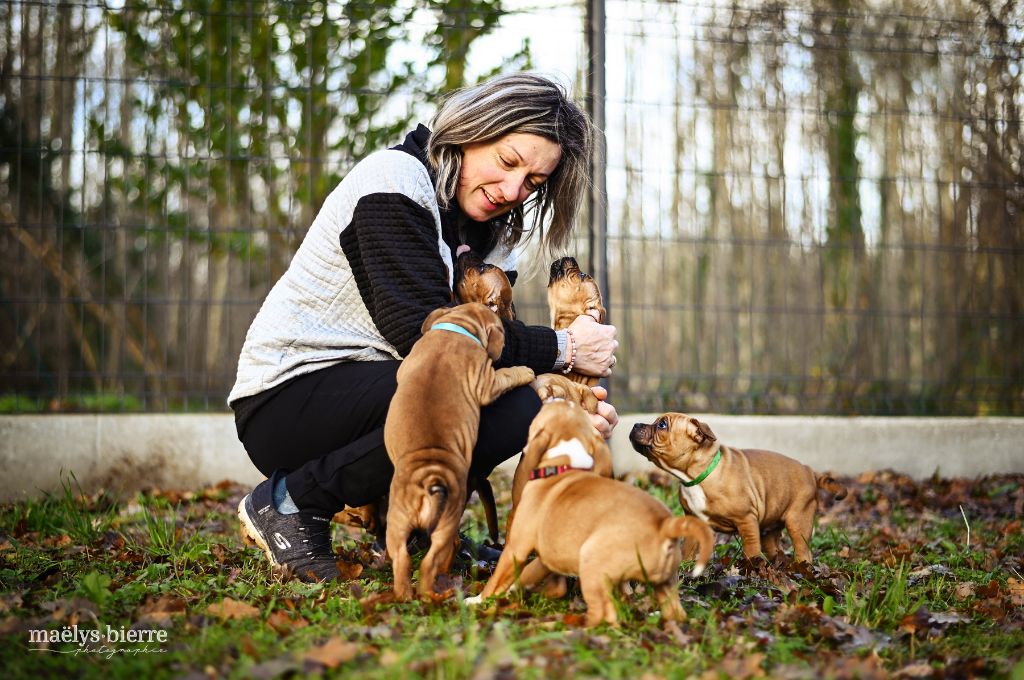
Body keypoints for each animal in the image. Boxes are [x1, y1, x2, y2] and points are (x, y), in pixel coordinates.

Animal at [380, 303, 532, 602]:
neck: (457, 329)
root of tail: (428, 477)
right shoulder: (488, 382)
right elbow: (508, 374)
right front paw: (526, 371)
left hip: (398, 521)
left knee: (402, 560)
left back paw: (404, 595)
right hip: (446, 523)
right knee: (429, 564)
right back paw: (436, 594)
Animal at [626, 413, 851, 561]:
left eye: (662, 425)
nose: (635, 424)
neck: (696, 476)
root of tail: (809, 470)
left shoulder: (746, 519)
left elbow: (751, 549)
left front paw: (752, 569)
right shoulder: (693, 519)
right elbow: (689, 547)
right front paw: (685, 567)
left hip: (798, 520)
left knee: (802, 548)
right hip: (771, 526)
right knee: (774, 547)